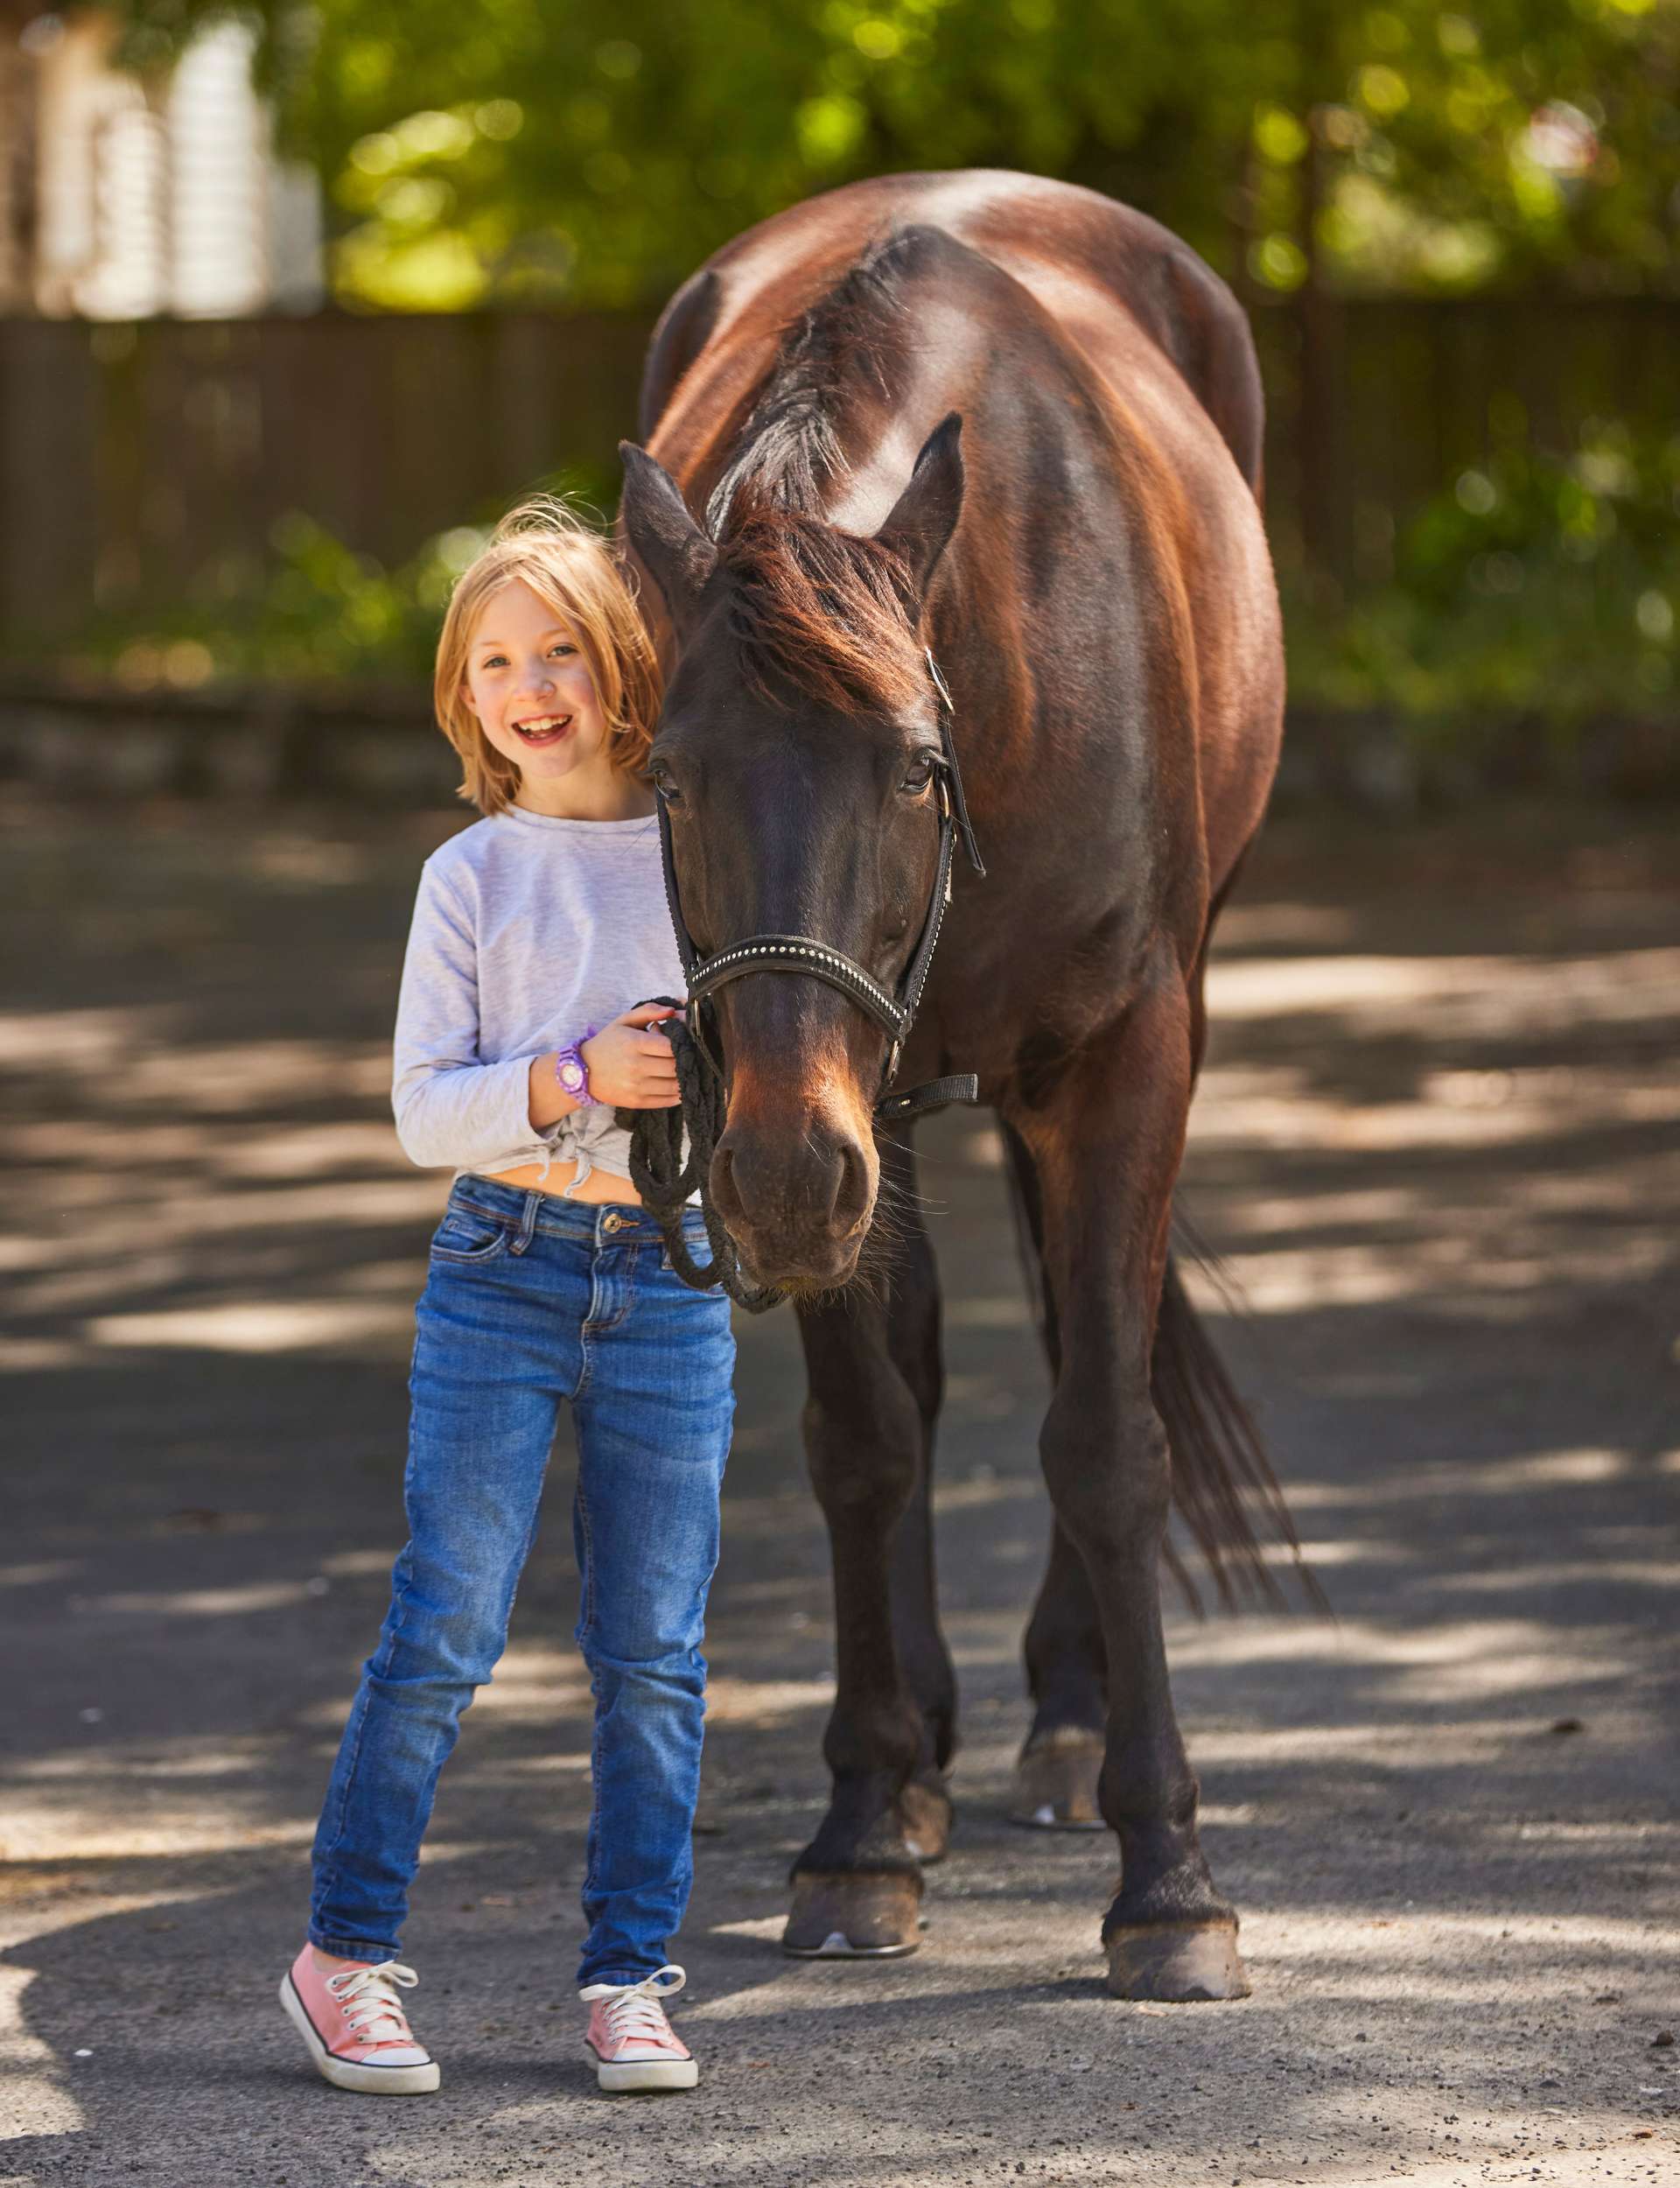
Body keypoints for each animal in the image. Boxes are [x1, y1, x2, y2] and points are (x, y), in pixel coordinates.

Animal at [617, 169, 1292, 2002]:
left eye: (917, 769)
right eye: (667, 777)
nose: (777, 1184)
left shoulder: (1125, 1060)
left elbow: (1108, 1436)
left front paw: (1169, 1874)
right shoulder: (840, 1114)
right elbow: (864, 1437)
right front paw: (860, 1823)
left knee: (1075, 1336)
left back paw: (1065, 1723)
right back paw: (922, 1755)